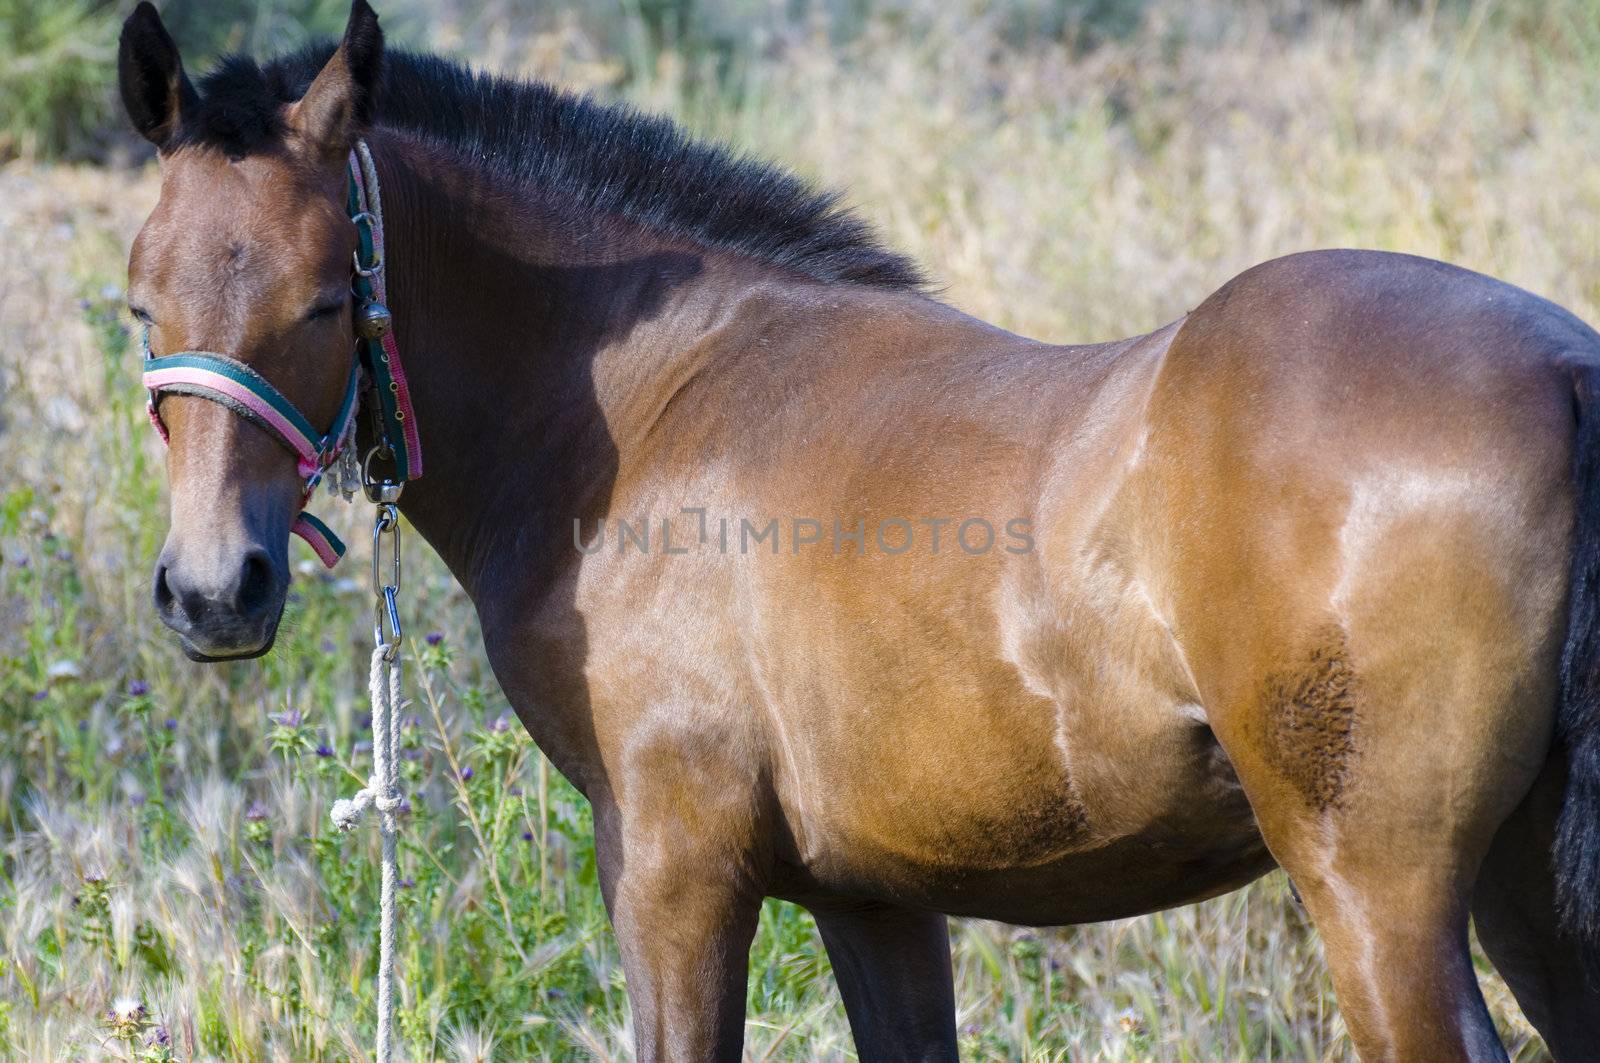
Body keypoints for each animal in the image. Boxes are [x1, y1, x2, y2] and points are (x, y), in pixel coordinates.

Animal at [121, 4, 1600, 1056]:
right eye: (139, 303)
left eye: (327, 297)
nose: (214, 591)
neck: (652, 400)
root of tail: (1566, 367)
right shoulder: (874, 896)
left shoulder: (672, 869)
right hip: (1523, 893)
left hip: (1381, 896)